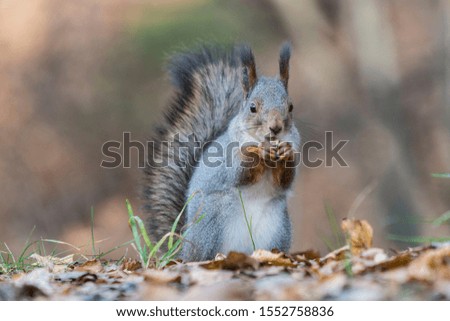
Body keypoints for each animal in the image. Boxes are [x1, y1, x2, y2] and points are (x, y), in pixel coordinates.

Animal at [142, 42, 300, 262]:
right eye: (252, 108)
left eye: (291, 107)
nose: (275, 128)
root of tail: (184, 248)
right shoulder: (227, 160)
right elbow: (240, 171)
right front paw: (257, 152)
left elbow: (284, 180)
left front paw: (286, 152)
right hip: (212, 217)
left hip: (279, 227)